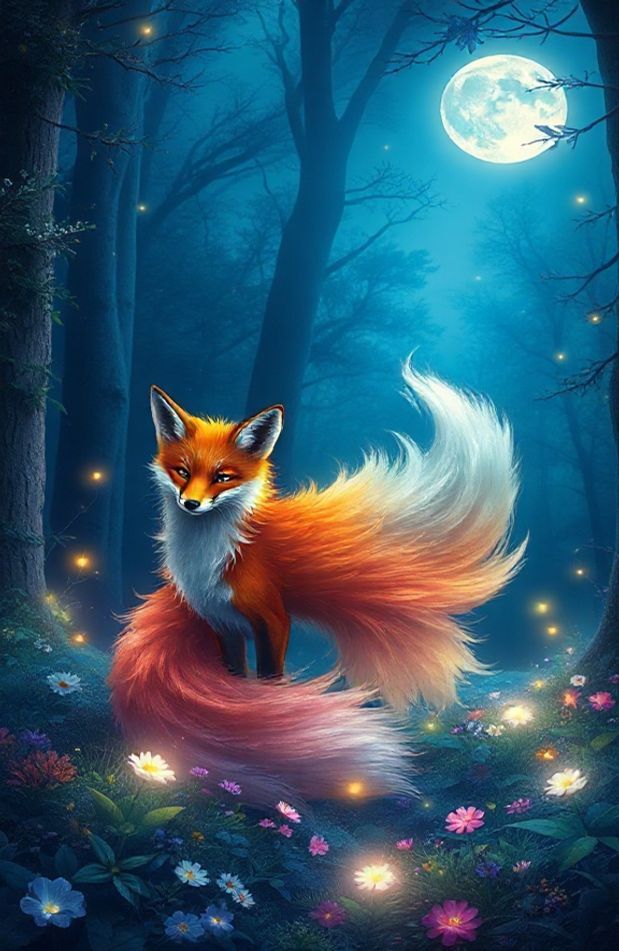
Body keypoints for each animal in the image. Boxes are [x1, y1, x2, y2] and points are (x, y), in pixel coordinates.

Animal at [110, 362, 524, 805]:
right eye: (183, 472)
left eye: (223, 476)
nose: (191, 504)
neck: (211, 558)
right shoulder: (222, 624)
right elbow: (236, 674)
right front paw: (246, 712)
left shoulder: (273, 620)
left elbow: (270, 677)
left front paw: (270, 720)